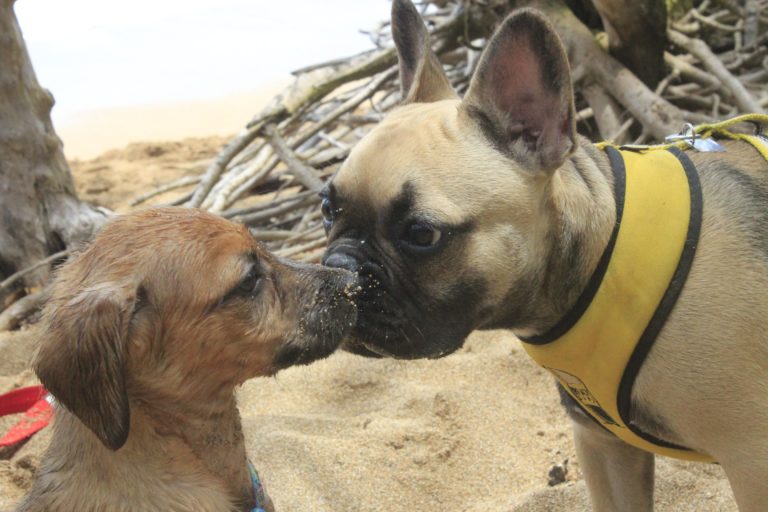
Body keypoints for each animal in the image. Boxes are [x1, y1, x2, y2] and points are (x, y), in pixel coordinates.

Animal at [320, 2, 768, 510]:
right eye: (326, 209)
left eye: (421, 233)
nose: (339, 268)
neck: (601, 250)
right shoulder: (604, 446)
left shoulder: (752, 461)